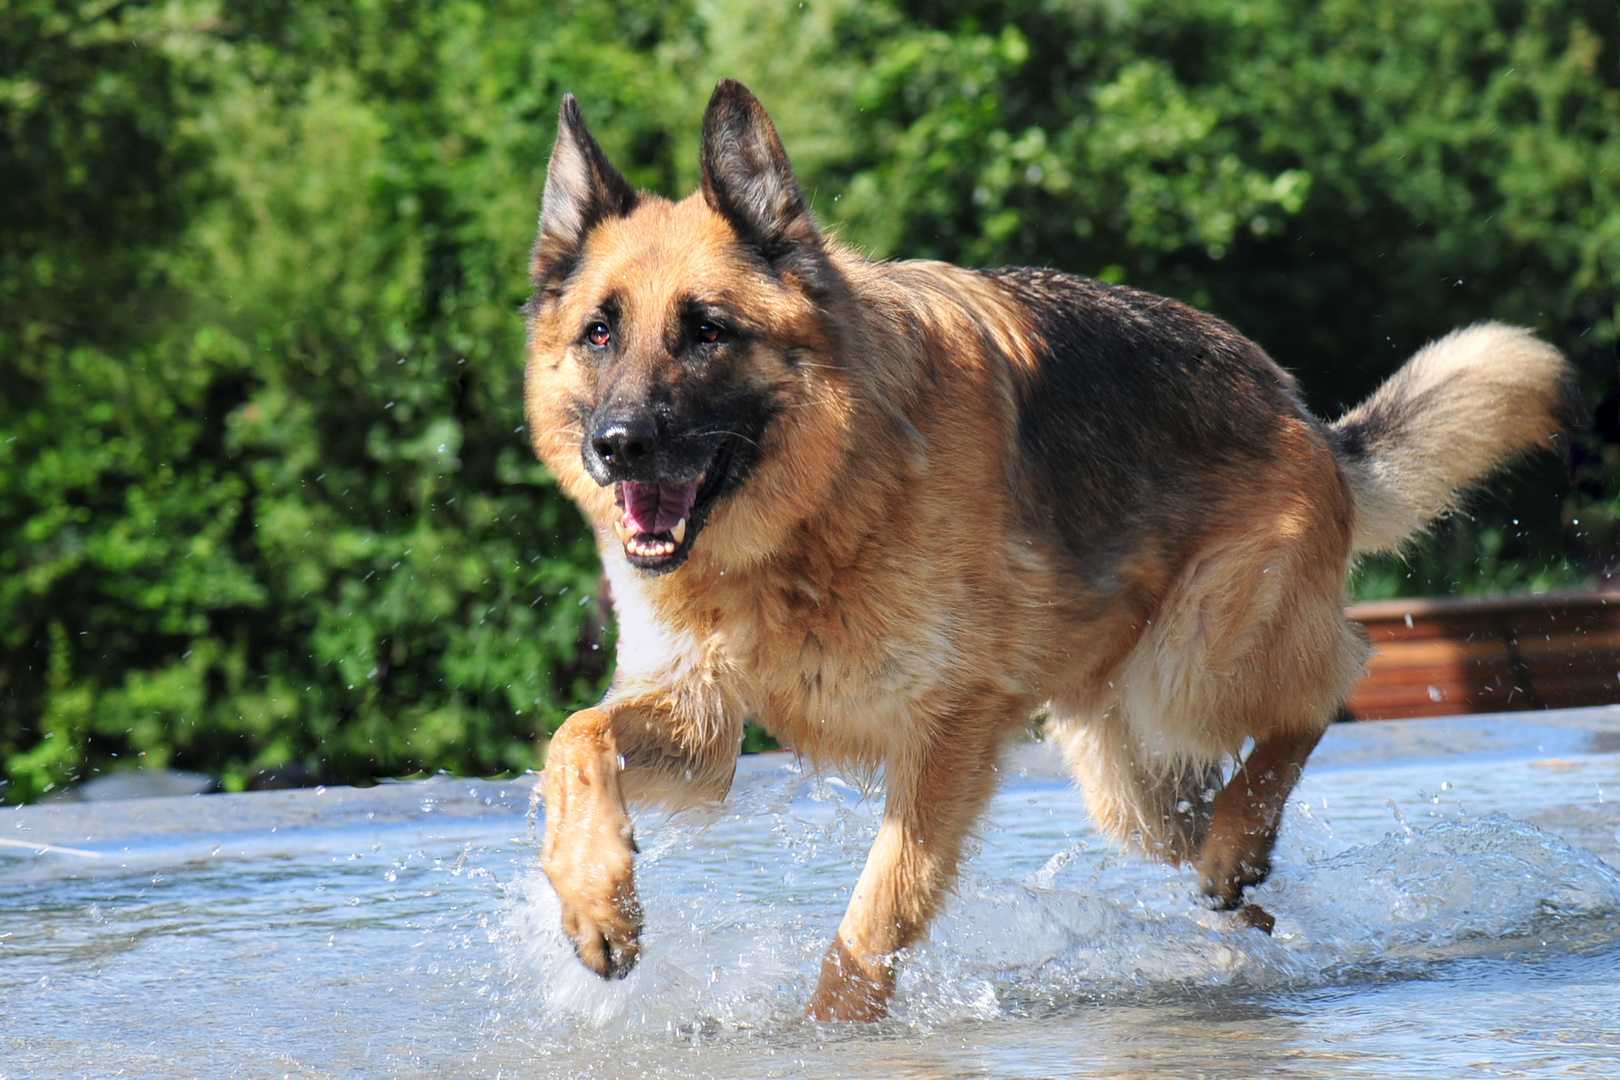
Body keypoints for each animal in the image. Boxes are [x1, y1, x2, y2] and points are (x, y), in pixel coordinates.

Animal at [524, 80, 1574, 1016]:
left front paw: (830, 1031)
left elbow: (875, 919)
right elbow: (575, 736)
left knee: (1330, 682)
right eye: (600, 332)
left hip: (1191, 668)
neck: (811, 517)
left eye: (706, 331)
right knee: (1217, 840)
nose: (617, 446)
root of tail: (1301, 410)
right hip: (1125, 779)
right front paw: (594, 898)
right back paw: (1246, 892)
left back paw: (1244, 841)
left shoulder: (948, 736)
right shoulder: (706, 728)